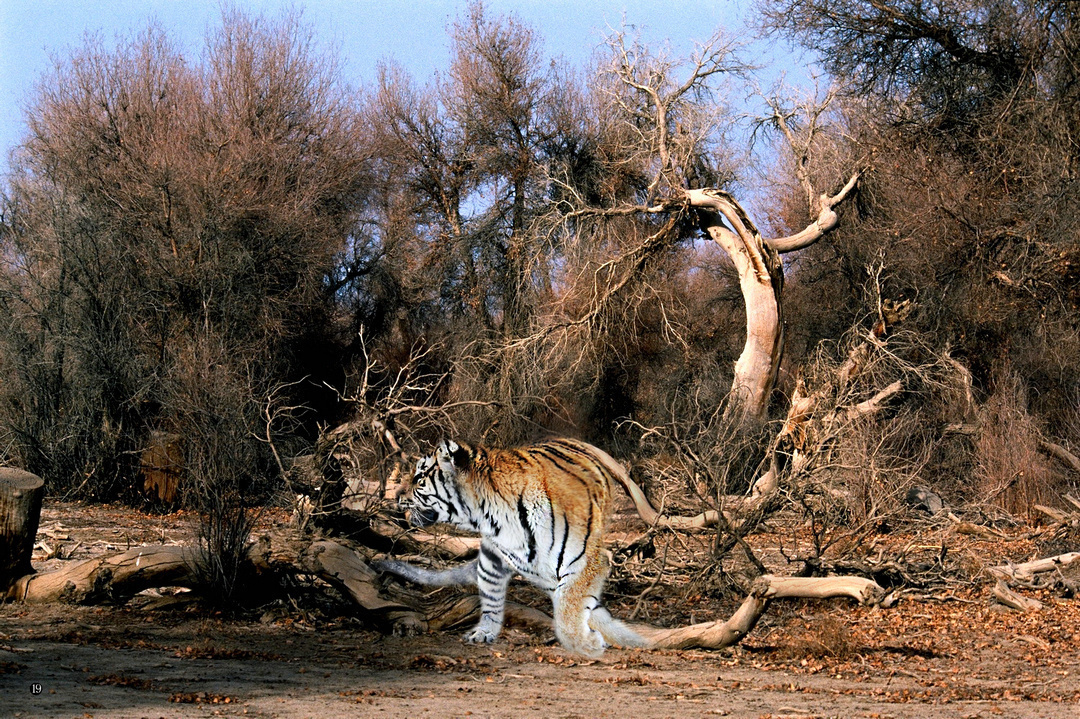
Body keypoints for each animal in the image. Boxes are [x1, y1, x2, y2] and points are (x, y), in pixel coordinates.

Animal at [375, 433, 652, 656]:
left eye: (420, 478)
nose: (396, 495)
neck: (489, 514)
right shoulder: (503, 560)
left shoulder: (585, 559)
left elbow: (569, 605)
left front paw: (585, 642)